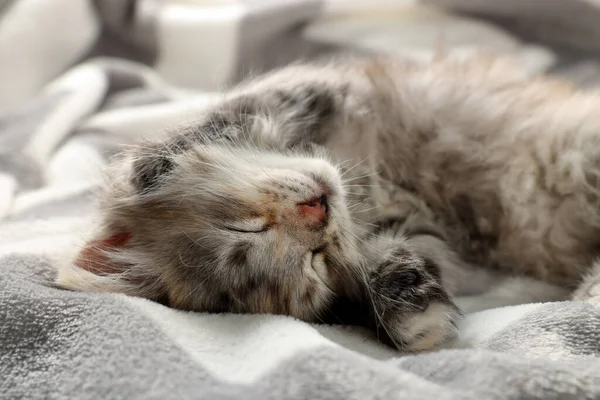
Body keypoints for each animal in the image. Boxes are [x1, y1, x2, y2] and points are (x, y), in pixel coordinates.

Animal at [55, 55, 600, 350]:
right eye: (316, 264)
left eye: (245, 227)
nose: (317, 212)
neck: (363, 189)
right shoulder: (427, 239)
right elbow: (400, 262)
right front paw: (409, 315)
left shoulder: (315, 85)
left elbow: (227, 114)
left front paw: (155, 162)